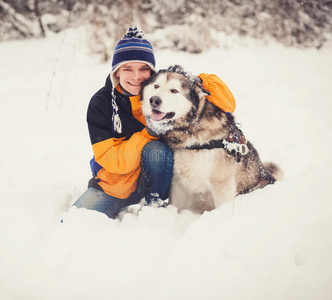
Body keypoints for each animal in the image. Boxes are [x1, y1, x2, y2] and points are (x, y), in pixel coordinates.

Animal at [140, 66, 282, 213]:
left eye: (174, 90)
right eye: (156, 86)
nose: (154, 100)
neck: (191, 129)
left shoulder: (221, 183)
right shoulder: (178, 184)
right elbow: (176, 207)